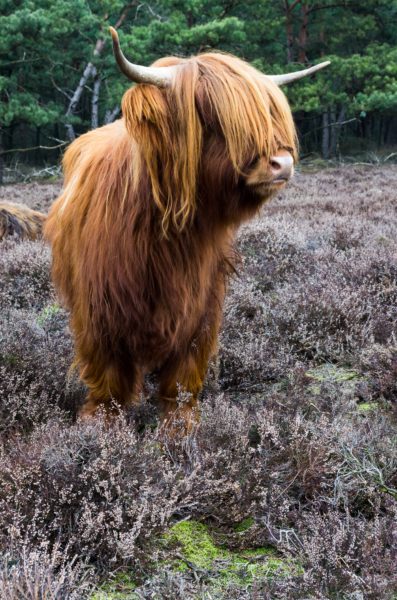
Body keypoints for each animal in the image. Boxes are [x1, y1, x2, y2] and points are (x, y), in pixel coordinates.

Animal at [2, 29, 328, 432]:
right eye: (211, 114)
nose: (282, 162)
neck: (166, 233)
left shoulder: (202, 303)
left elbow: (184, 369)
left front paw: (181, 422)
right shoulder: (99, 303)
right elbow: (107, 368)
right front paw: (101, 421)